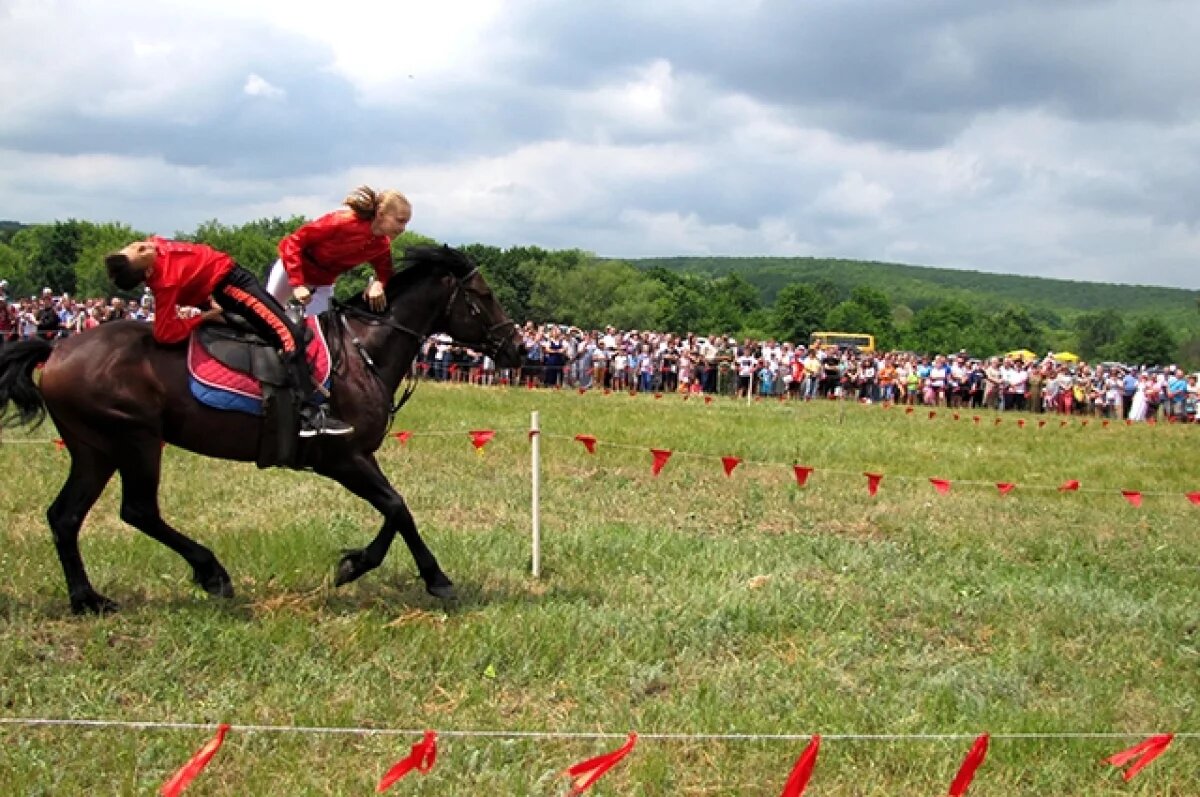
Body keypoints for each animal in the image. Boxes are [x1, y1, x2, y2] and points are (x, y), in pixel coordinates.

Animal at [0, 246, 520, 612]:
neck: (362, 352)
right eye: (484, 296)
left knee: (66, 516)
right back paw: (210, 572)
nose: (515, 348)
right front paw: (390, 571)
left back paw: (88, 599)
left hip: (95, 448)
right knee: (138, 510)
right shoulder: (343, 458)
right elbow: (396, 506)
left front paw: (404, 572)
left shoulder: (359, 457)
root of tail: (57, 350)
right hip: (136, 440)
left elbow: (399, 511)